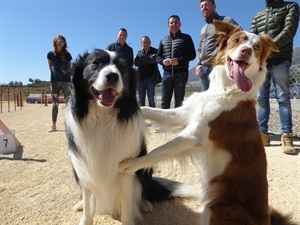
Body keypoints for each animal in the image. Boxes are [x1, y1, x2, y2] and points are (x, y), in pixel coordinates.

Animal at [65, 49, 197, 225]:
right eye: (95, 63)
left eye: (122, 68)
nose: (112, 76)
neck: (103, 120)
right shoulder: (84, 169)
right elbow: (88, 204)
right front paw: (84, 213)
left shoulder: (126, 171)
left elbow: (127, 206)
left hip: (145, 170)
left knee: (143, 191)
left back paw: (145, 204)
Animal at [118, 21, 294, 225]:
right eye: (237, 41)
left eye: (256, 47)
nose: (246, 51)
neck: (224, 90)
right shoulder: (184, 114)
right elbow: (151, 110)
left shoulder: (195, 135)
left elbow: (158, 151)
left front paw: (131, 165)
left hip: (216, 206)